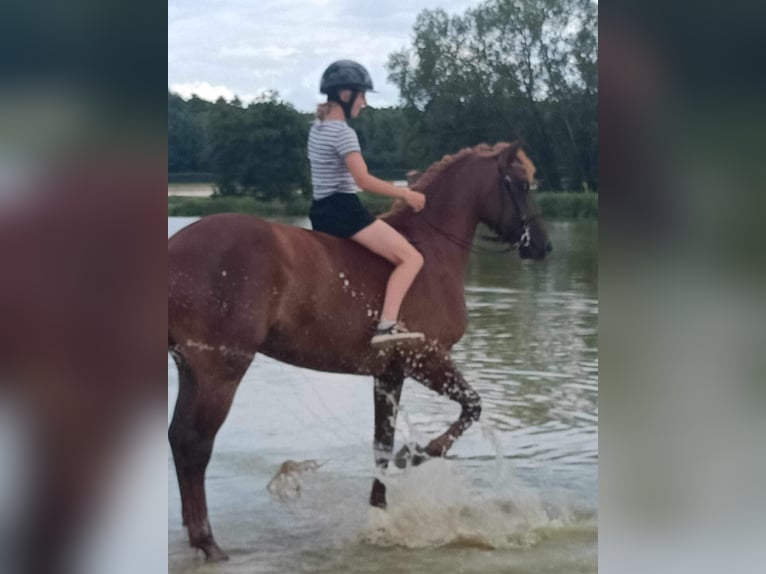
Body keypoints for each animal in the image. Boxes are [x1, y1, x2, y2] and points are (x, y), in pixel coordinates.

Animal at [168, 142, 552, 560]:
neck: (431, 251)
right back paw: (208, 542)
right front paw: (415, 454)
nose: (543, 245)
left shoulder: (390, 373)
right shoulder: (426, 358)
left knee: (179, 439)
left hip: (192, 368)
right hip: (222, 369)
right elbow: (472, 406)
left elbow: (381, 446)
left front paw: (379, 517)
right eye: (521, 184)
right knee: (196, 443)